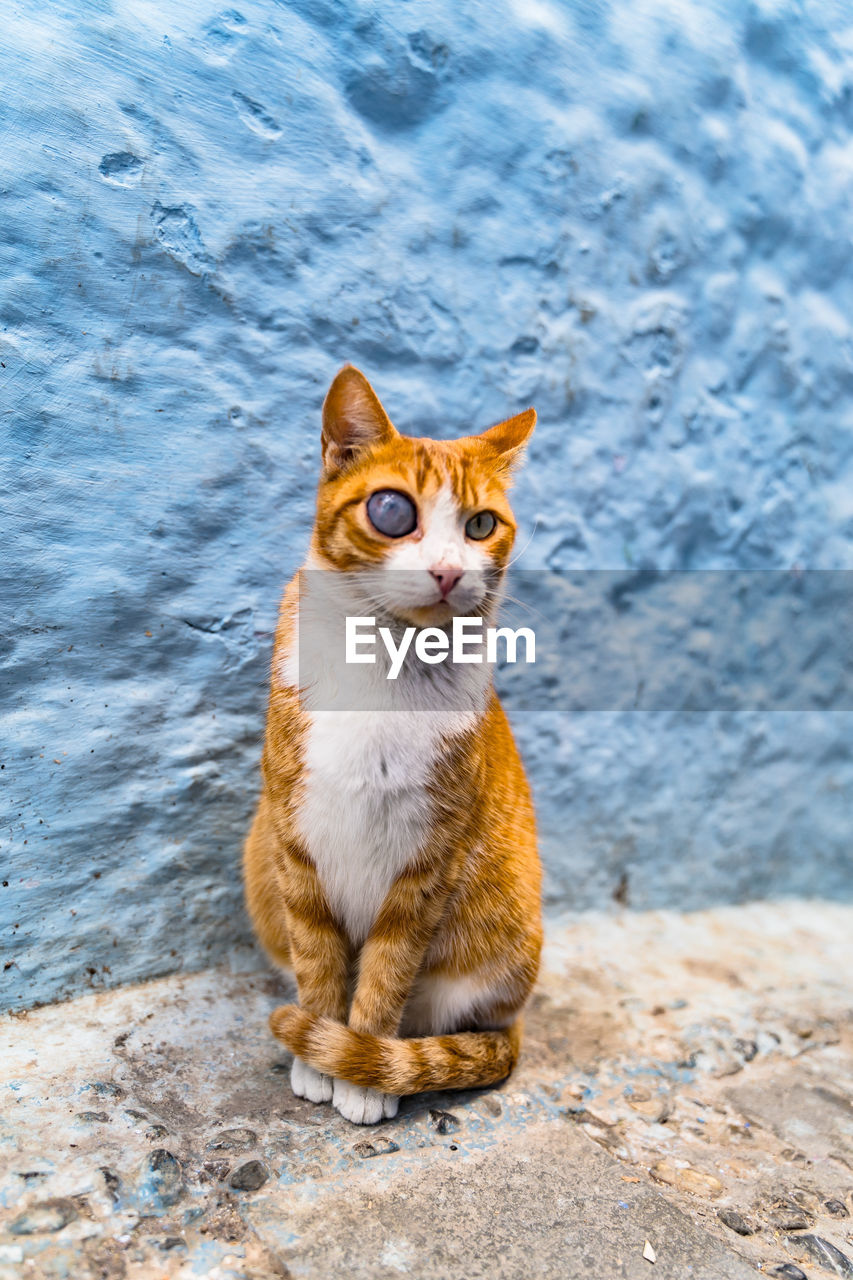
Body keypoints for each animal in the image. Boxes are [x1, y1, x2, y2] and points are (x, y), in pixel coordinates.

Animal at [242, 360, 540, 1121]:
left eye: (481, 524)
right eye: (392, 511)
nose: (448, 571)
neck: (384, 658)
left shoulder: (427, 864)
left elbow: (384, 974)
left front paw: (363, 1069)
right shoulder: (295, 838)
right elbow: (318, 961)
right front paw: (317, 1050)